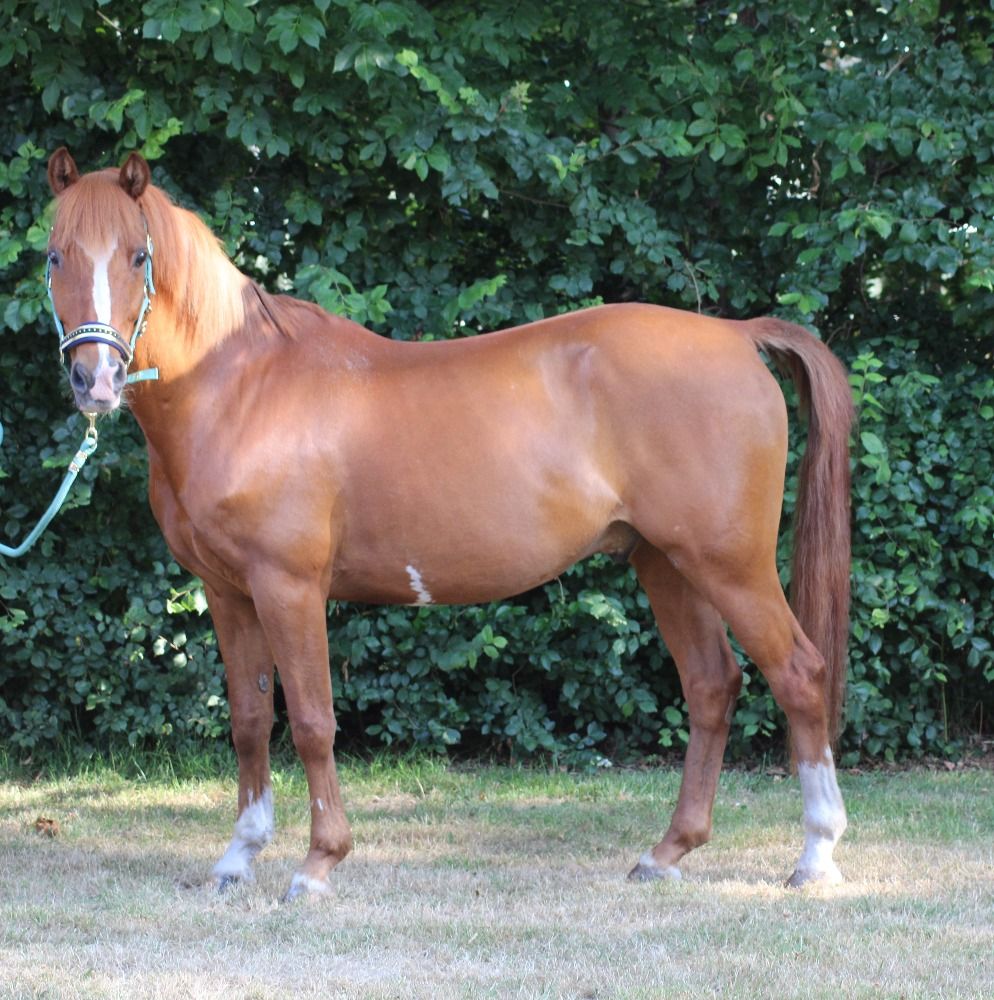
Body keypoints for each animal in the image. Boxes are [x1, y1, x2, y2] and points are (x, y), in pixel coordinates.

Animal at [44, 148, 853, 901]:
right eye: (55, 255)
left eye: (138, 256)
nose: (95, 381)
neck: (240, 386)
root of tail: (738, 336)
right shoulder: (228, 592)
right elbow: (248, 720)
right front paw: (238, 857)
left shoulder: (288, 587)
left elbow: (311, 722)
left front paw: (318, 863)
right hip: (666, 563)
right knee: (713, 686)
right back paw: (668, 852)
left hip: (729, 564)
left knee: (799, 675)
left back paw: (816, 853)